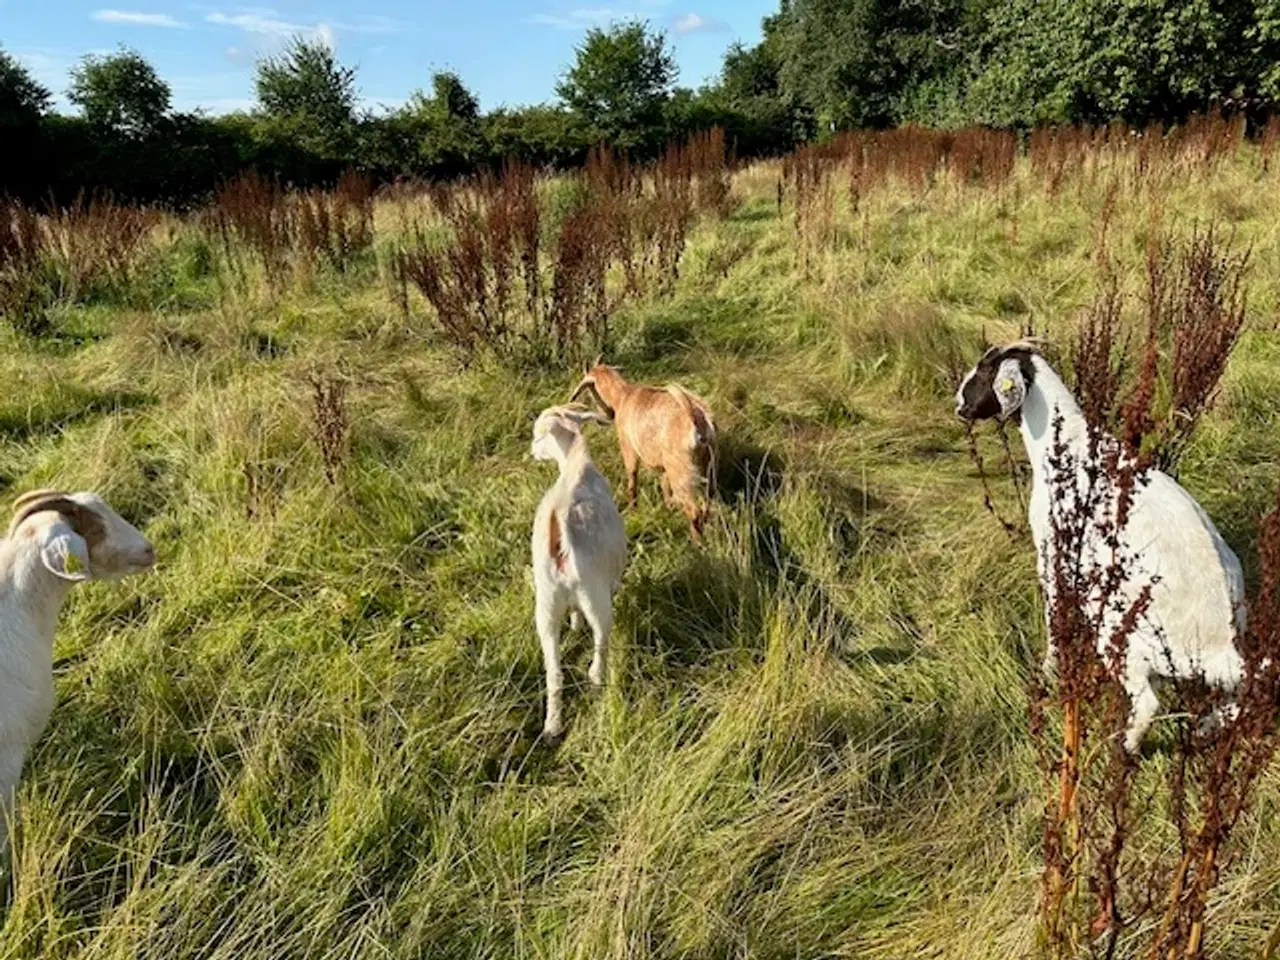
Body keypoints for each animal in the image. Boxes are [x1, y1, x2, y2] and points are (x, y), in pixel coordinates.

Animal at [527, 407, 627, 742]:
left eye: (539, 435)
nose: (532, 450)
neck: (575, 466)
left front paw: (574, 624)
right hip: (594, 594)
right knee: (601, 641)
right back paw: (598, 680)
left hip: (546, 604)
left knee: (554, 675)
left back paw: (552, 727)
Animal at [573, 358, 721, 542]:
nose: (603, 418)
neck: (623, 396)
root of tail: (696, 421)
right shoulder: (663, 464)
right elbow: (664, 485)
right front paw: (668, 506)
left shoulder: (628, 448)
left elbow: (632, 478)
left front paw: (632, 508)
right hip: (708, 465)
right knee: (708, 501)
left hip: (681, 472)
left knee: (694, 511)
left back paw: (696, 541)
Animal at [957, 343, 1244, 757]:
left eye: (983, 372)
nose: (959, 405)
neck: (1067, 444)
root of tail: (1220, 643)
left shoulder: (1051, 551)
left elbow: (1054, 612)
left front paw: (1050, 668)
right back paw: (1205, 727)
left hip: (1120, 632)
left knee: (1148, 701)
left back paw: (1122, 747)